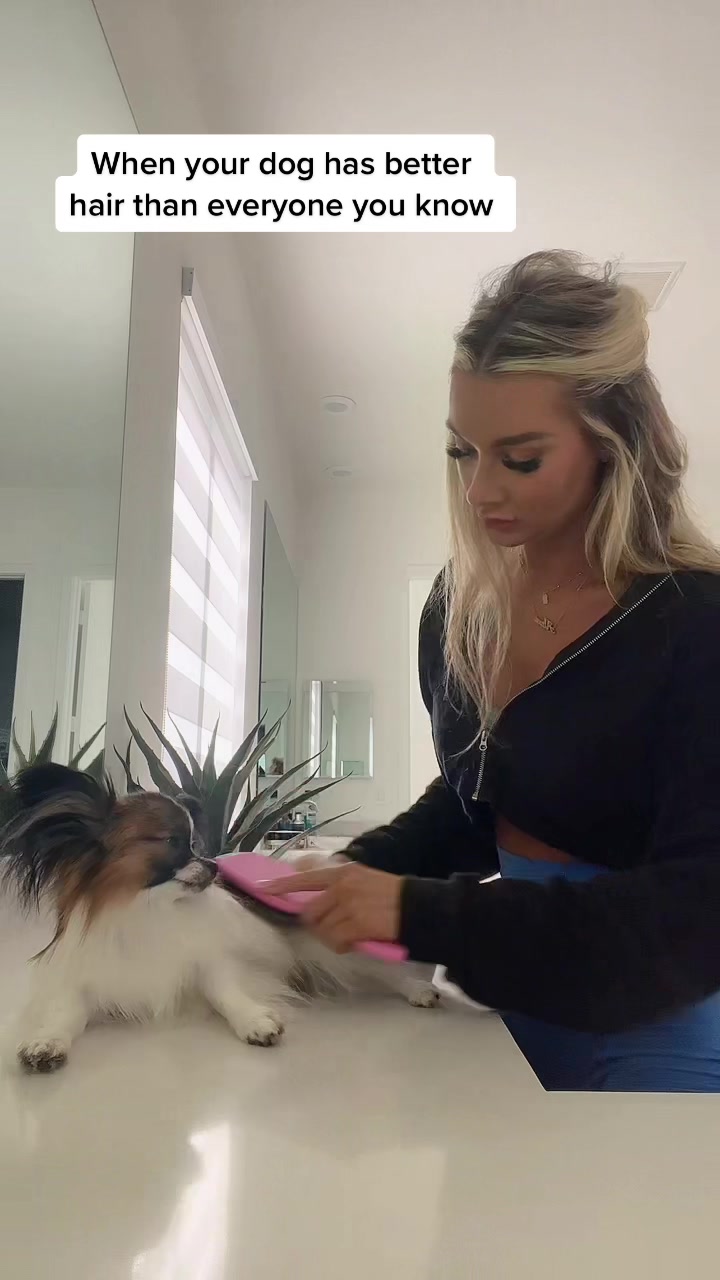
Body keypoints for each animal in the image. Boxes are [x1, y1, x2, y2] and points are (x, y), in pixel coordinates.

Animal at [0, 764, 437, 1072]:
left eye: (196, 843)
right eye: (174, 842)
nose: (214, 866)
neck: (147, 911)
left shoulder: (214, 963)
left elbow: (226, 991)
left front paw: (255, 1021)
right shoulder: (86, 983)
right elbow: (65, 1014)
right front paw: (46, 1042)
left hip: (327, 945)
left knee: (382, 969)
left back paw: (418, 989)